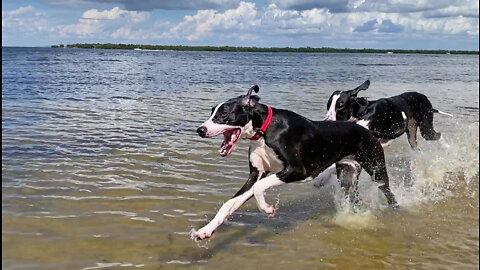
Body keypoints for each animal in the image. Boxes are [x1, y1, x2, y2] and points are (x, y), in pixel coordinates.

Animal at [191, 85, 398, 239]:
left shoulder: (299, 171)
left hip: (377, 170)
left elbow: (259, 188)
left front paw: (267, 209)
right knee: (353, 198)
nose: (200, 130)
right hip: (347, 176)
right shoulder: (256, 174)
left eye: (223, 114)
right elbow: (230, 203)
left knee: (389, 193)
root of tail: (366, 130)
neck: (265, 128)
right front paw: (206, 230)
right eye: (212, 112)